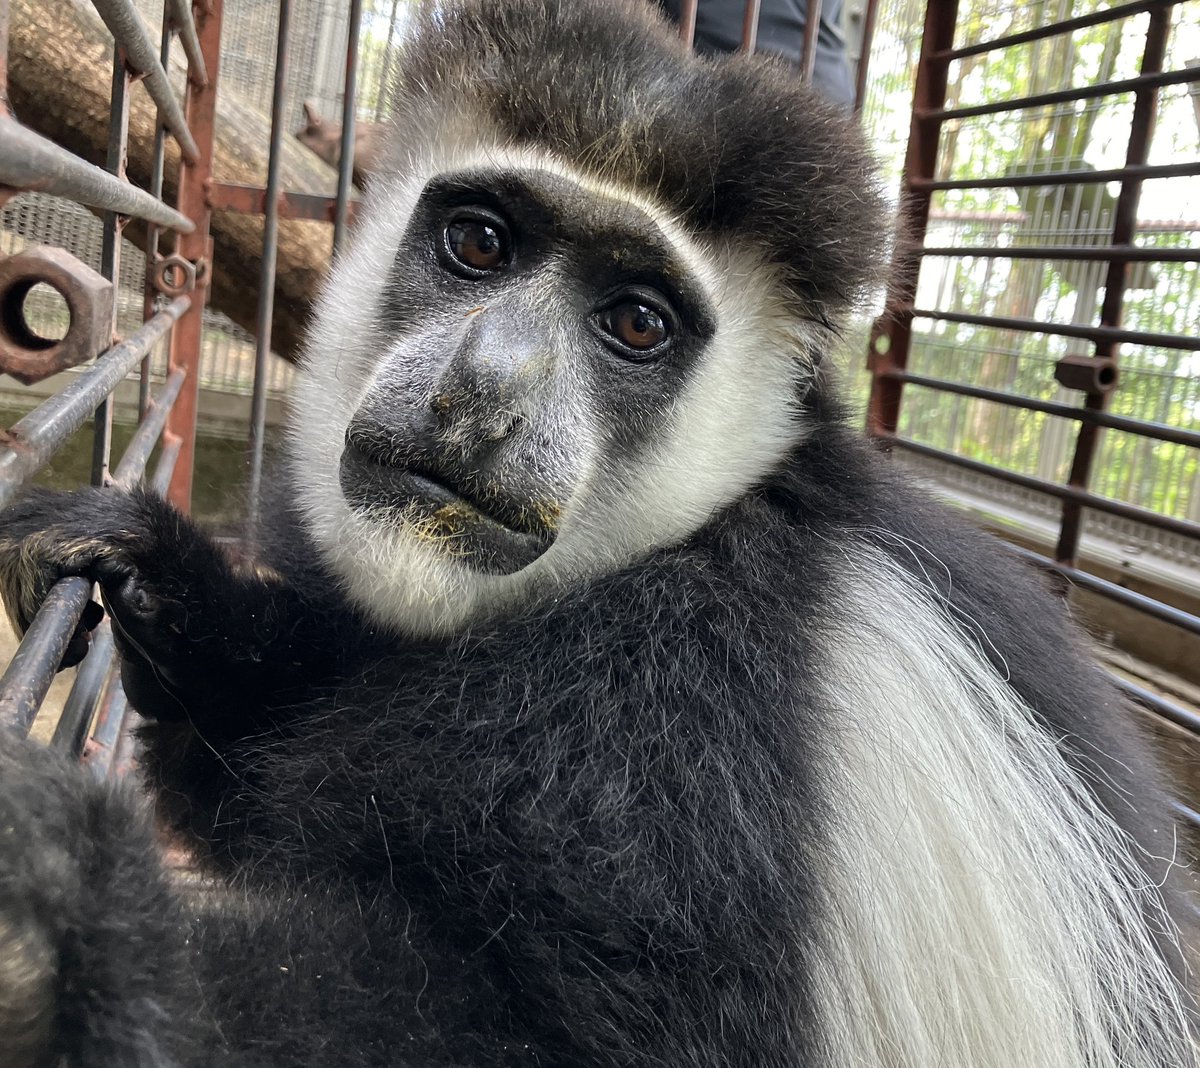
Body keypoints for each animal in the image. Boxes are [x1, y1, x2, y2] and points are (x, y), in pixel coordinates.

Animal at [2, 2, 1200, 1065]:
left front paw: (69, 923)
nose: (484, 394)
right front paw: (156, 577)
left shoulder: (683, 723)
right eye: (478, 242)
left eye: (635, 322)